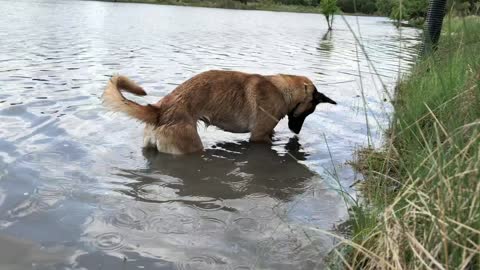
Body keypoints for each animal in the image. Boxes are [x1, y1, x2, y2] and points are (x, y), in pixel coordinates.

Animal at [103, 69, 336, 154]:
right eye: (309, 112)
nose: (296, 132)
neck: (283, 89)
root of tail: (160, 110)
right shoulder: (258, 137)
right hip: (191, 148)